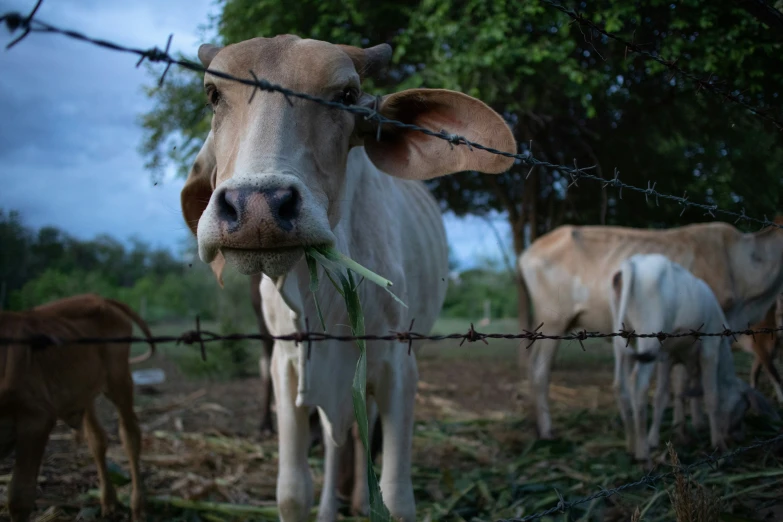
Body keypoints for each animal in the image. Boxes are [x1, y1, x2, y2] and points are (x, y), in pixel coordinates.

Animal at [0, 292, 155, 520]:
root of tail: (99, 298)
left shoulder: (36, 419)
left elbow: (19, 497)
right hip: (85, 392)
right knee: (97, 440)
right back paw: (108, 502)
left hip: (118, 379)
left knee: (130, 436)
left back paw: (138, 506)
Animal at [181, 34, 516, 516]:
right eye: (213, 95)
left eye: (346, 95)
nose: (257, 208)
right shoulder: (289, 365)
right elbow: (292, 491)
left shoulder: (397, 365)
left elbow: (397, 497)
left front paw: (370, 498)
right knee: (336, 436)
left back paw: (358, 496)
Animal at [520, 219, 783, 438]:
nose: (737, 432)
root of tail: (529, 252)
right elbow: (686, 380)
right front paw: (688, 427)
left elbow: (687, 378)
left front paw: (692, 424)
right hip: (554, 321)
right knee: (539, 370)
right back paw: (547, 431)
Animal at [608, 252, 776, 460]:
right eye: (744, 407)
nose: (739, 436)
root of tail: (633, 263)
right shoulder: (709, 349)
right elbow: (711, 395)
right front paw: (718, 443)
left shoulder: (671, 357)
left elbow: (673, 393)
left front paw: (683, 430)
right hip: (648, 335)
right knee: (638, 384)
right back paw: (643, 453)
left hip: (623, 337)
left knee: (620, 385)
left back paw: (632, 445)